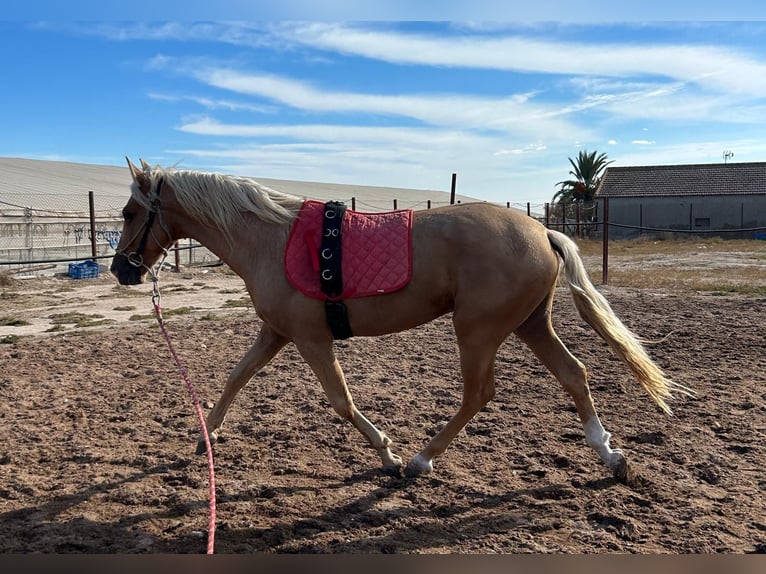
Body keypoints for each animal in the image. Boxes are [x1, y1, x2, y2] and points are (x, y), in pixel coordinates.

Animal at [111, 159, 692, 486]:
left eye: (128, 212)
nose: (121, 269)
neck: (270, 239)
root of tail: (542, 231)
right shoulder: (276, 333)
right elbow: (236, 378)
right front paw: (203, 439)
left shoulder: (311, 340)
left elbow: (341, 402)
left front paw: (387, 455)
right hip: (529, 324)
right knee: (574, 374)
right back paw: (612, 458)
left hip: (478, 330)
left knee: (480, 393)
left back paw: (418, 462)